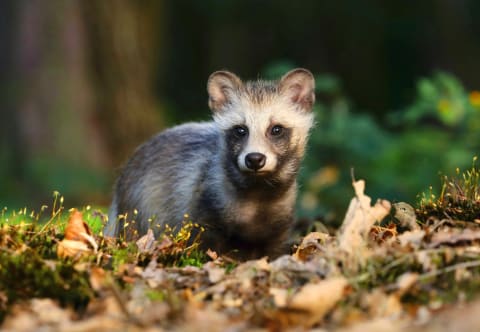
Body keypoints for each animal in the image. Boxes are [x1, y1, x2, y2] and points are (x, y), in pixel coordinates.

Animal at [104, 67, 316, 260]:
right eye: (240, 129)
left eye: (276, 129)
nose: (255, 159)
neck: (257, 197)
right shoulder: (202, 210)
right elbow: (202, 247)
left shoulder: (279, 226)